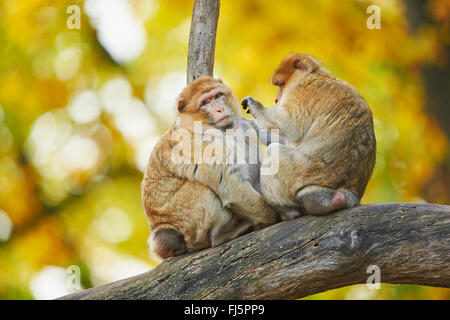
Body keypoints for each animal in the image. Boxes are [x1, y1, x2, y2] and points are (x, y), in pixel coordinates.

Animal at [143, 77, 278, 260]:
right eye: (205, 102)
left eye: (217, 96)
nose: (220, 109)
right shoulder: (205, 144)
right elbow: (232, 188)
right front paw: (276, 216)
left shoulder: (242, 123)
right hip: (188, 224)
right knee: (204, 192)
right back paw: (225, 234)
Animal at [243, 53, 376, 221]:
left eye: (280, 85)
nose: (276, 99)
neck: (314, 74)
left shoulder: (302, 90)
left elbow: (290, 125)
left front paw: (254, 106)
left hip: (297, 173)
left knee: (275, 152)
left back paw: (290, 211)